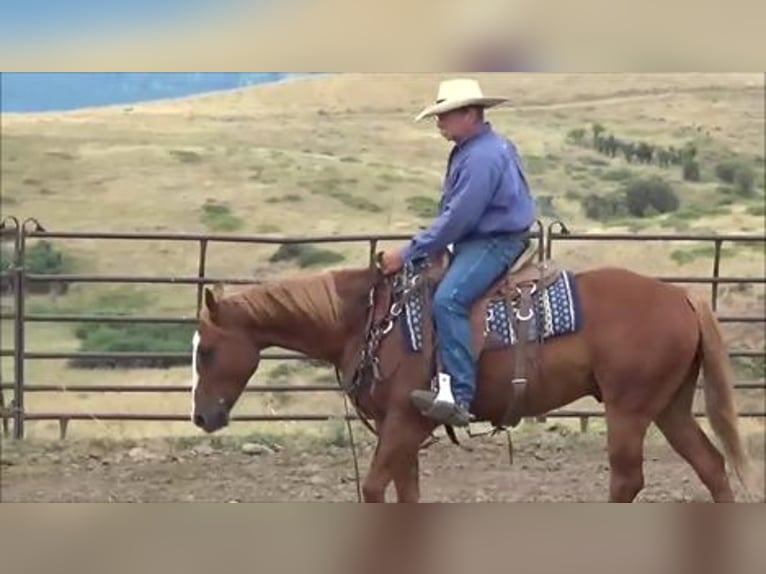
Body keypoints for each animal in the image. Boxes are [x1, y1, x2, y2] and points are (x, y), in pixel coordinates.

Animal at [190, 244, 756, 504]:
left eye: (209, 352)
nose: (200, 417)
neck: (369, 320)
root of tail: (681, 295)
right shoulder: (402, 429)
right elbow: (406, 493)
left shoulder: (404, 422)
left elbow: (373, 489)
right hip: (668, 405)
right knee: (711, 465)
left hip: (629, 408)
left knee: (628, 479)